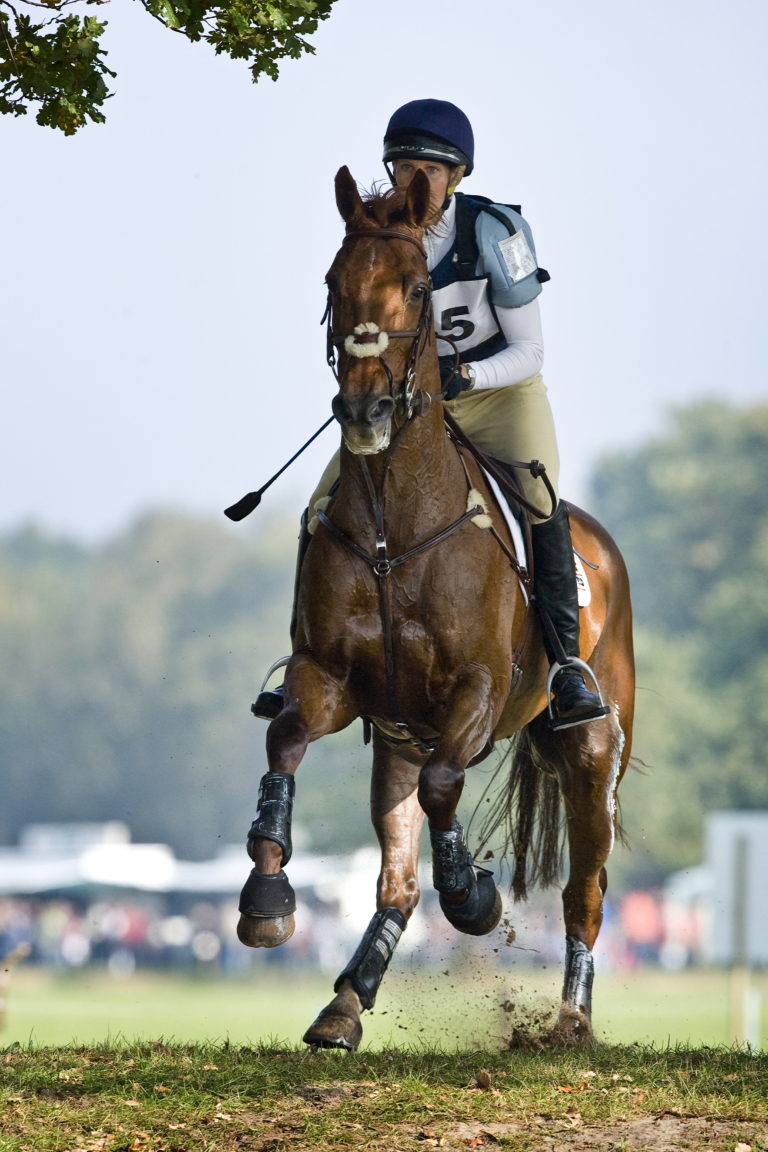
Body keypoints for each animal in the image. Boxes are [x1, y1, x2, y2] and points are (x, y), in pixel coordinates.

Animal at [236, 166, 635, 1051]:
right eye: (333, 284)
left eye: (417, 288)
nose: (365, 414)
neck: (397, 525)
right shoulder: (332, 679)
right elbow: (285, 743)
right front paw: (266, 897)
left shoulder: (478, 692)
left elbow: (448, 786)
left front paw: (475, 895)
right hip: (395, 740)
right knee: (395, 881)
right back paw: (344, 1005)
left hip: (592, 746)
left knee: (584, 888)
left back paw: (571, 1018)